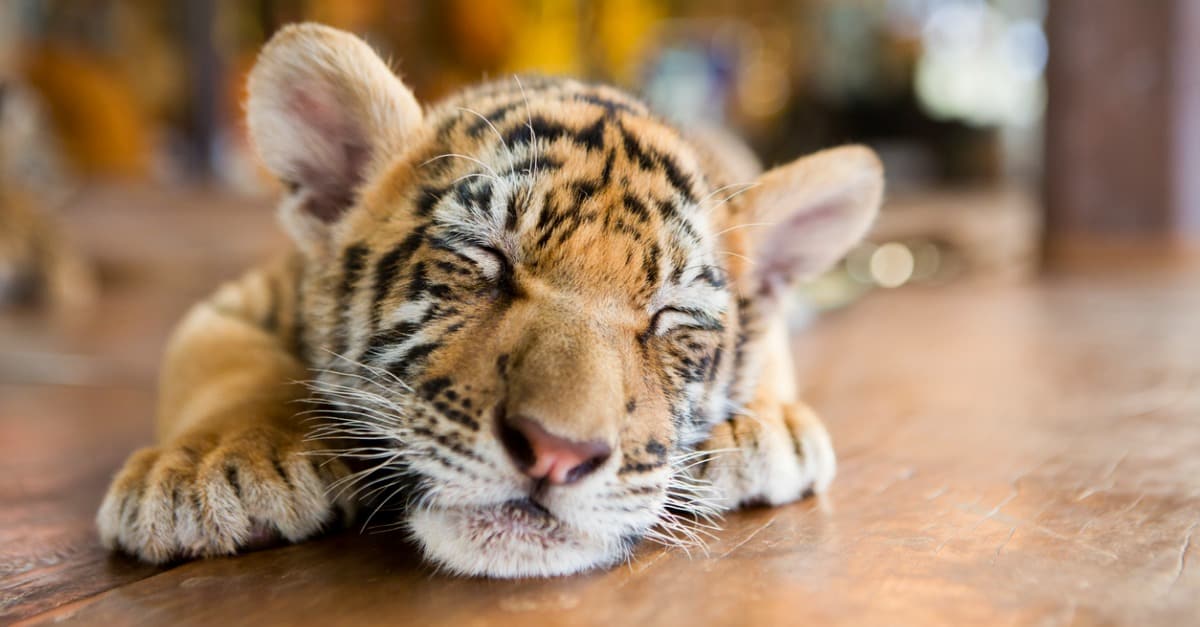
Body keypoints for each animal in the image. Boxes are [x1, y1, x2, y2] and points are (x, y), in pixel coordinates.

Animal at [96, 23, 883, 578]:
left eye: (668, 318)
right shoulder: (235, 300)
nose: (558, 454)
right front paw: (210, 468)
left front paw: (764, 426)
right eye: (486, 259)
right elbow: (225, 364)